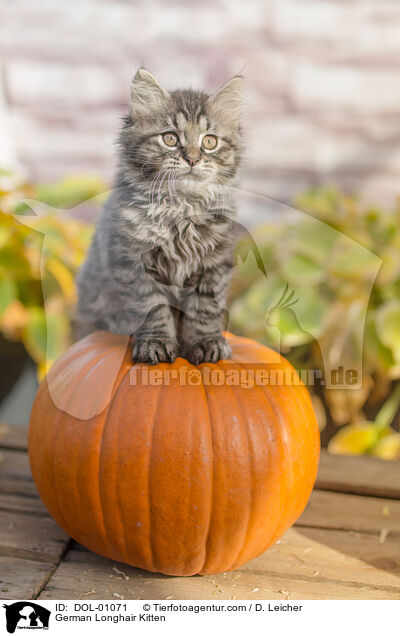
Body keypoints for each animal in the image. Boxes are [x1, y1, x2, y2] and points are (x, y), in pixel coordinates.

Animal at [76, 67, 242, 366]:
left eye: (209, 141)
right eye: (170, 138)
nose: (192, 159)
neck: (181, 210)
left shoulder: (214, 265)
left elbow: (205, 311)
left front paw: (206, 343)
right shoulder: (132, 261)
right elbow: (153, 308)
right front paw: (156, 344)